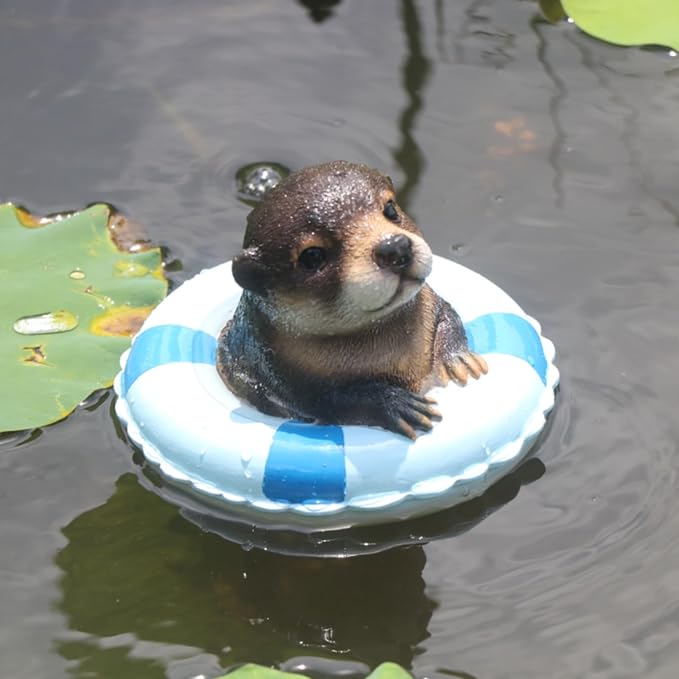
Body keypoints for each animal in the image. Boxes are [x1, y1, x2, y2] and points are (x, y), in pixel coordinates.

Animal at [217, 161, 487, 439]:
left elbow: (448, 313)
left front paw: (458, 358)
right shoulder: (285, 383)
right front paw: (396, 404)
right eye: (312, 256)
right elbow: (332, 402)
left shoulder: (430, 300)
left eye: (390, 209)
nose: (394, 247)